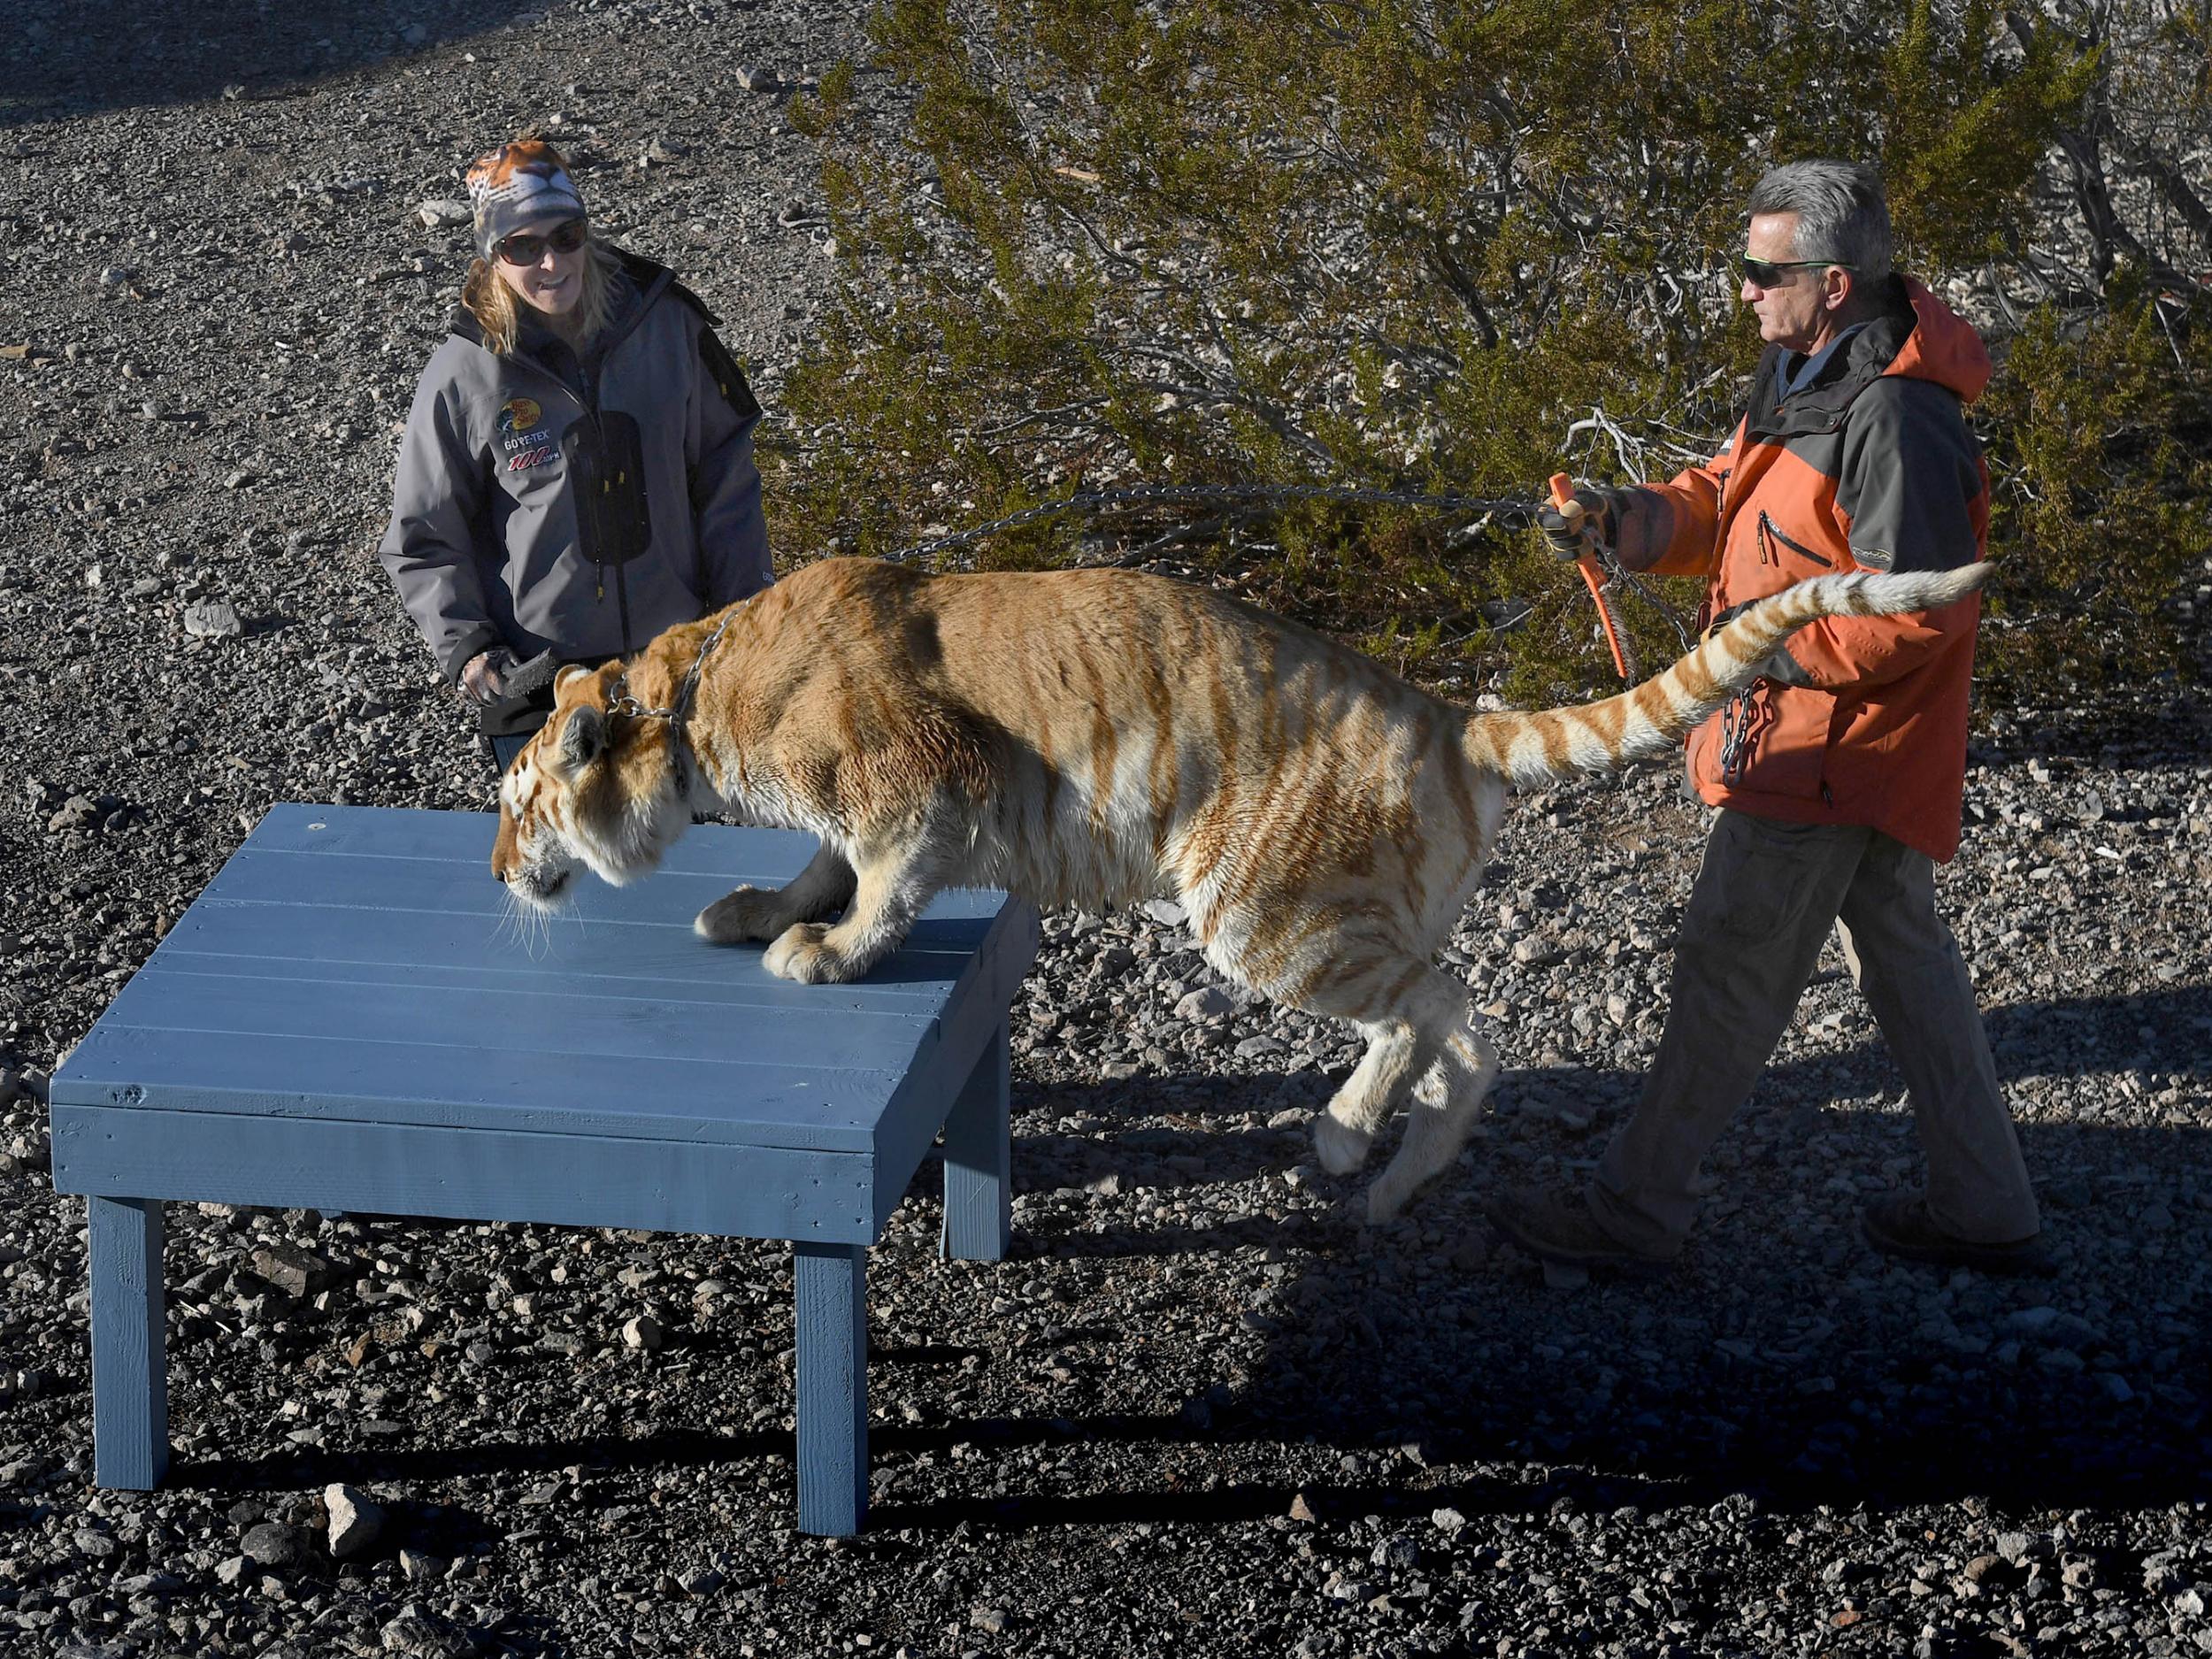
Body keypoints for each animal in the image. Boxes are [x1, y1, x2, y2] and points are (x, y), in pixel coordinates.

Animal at [493, 559, 2000, 1221]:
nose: (499, 868)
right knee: (1460, 1032)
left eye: (514, 801)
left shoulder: (925, 775)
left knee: (1449, 1011)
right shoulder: (858, 805)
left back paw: (1345, 1137)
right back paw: (1397, 1177)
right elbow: (816, 855)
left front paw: (827, 949)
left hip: (1259, 911)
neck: (692, 690)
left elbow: (879, 880)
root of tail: (1451, 719)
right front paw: (756, 905)